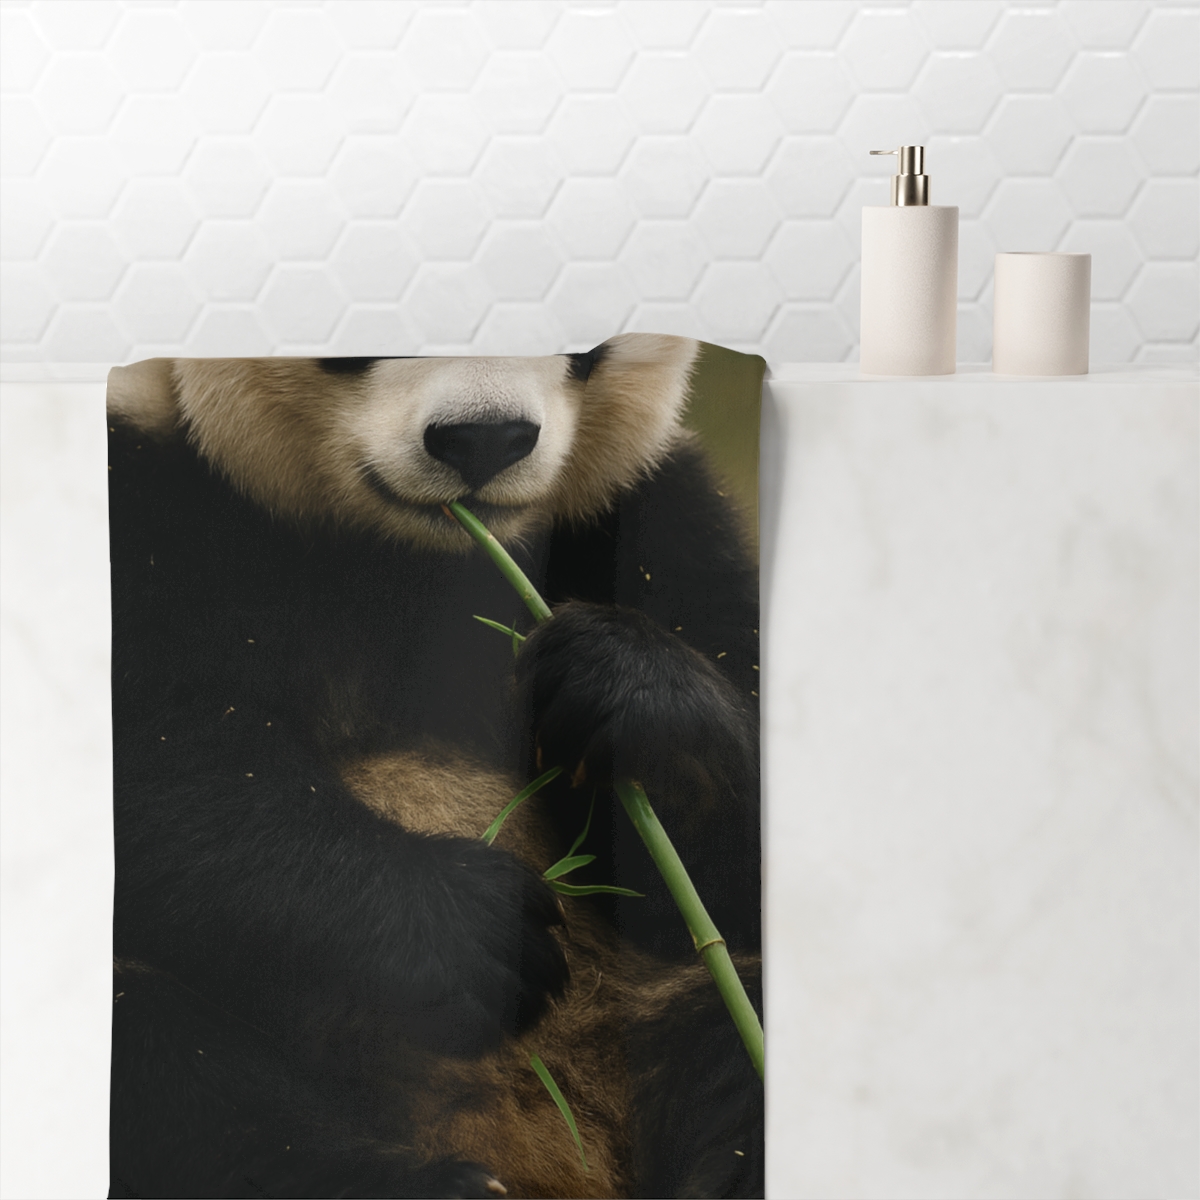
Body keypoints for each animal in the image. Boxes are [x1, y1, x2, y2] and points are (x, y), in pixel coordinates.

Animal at [106, 334, 763, 1200]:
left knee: (741, 1011)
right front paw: (476, 928)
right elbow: (159, 771)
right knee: (167, 1062)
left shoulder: (648, 520)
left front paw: (620, 683)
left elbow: (743, 861)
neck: (402, 554)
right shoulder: (151, 497)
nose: (484, 441)